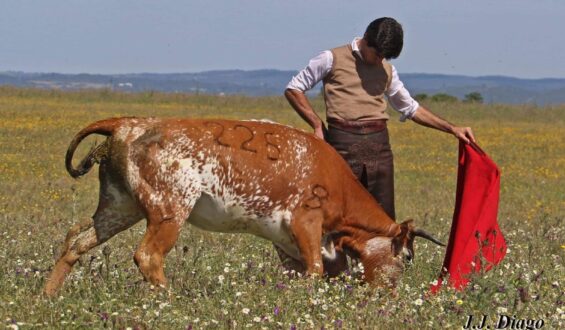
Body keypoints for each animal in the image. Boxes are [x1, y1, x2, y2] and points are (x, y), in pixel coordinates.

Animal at [41, 116, 442, 296]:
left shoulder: (285, 242)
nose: (389, 295)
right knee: (149, 255)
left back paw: (49, 295)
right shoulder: (306, 221)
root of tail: (127, 123)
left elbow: (300, 271)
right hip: (169, 210)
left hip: (119, 207)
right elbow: (315, 269)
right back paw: (169, 298)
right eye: (406, 257)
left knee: (76, 240)